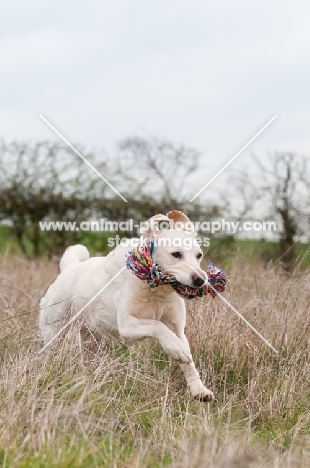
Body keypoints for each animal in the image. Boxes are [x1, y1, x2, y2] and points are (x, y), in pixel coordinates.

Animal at [38, 210, 213, 400]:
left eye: (199, 256)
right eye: (176, 254)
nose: (201, 279)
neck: (156, 292)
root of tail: (69, 268)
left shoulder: (177, 328)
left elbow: (189, 362)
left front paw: (199, 390)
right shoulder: (126, 325)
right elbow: (157, 326)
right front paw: (176, 349)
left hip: (91, 340)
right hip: (55, 332)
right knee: (50, 353)